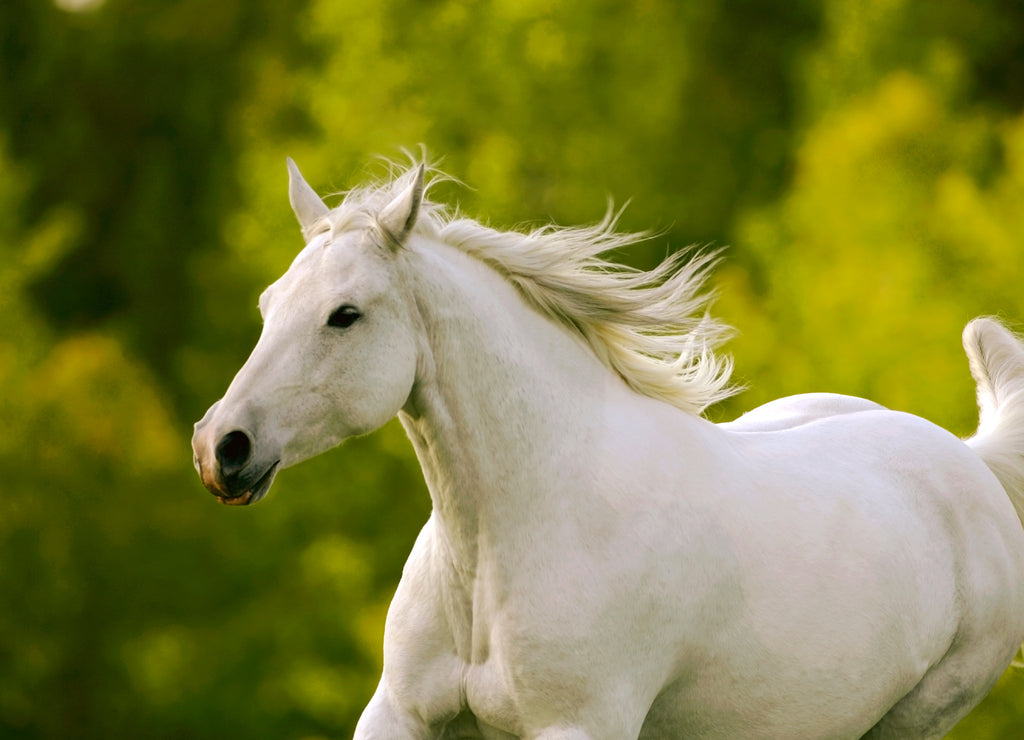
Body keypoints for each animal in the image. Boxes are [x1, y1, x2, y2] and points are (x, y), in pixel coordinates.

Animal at [193, 157, 1024, 740]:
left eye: (346, 315)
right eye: (270, 303)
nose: (221, 448)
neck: (504, 541)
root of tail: (969, 460)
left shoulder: (580, 723)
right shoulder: (400, 714)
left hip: (918, 713)